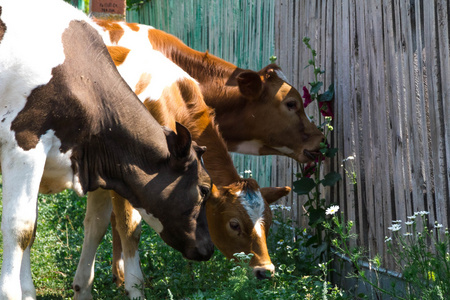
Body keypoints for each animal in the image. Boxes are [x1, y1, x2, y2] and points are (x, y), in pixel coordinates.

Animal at [0, 1, 214, 298]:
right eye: (204, 189)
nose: (209, 248)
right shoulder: (25, 144)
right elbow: (20, 227)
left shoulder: (98, 163)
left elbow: (93, 224)